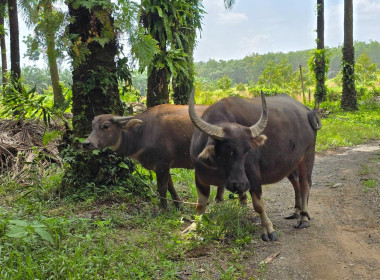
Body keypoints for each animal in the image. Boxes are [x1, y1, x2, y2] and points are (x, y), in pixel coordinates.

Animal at [81, 104, 227, 209]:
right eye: (92, 126)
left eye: (105, 126)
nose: (86, 143)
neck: (142, 133)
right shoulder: (163, 165)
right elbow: (170, 185)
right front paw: (178, 205)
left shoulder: (162, 163)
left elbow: (162, 187)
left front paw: (163, 209)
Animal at [189, 89, 320, 241]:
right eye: (227, 150)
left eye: (247, 151)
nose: (240, 185)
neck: (218, 167)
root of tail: (307, 110)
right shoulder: (199, 177)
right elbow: (200, 204)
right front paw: (195, 227)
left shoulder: (253, 176)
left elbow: (258, 205)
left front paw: (268, 230)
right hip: (291, 161)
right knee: (295, 181)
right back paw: (296, 212)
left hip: (308, 154)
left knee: (305, 183)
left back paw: (303, 218)